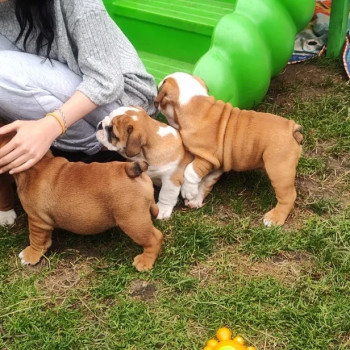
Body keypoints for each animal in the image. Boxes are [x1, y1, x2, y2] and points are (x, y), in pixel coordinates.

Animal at [0, 131, 164, 270]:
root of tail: (130, 169)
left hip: (132, 221)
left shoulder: (37, 221)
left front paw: (30, 255)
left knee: (154, 238)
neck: (38, 164)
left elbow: (36, 239)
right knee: (153, 211)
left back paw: (145, 261)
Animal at [154, 73, 302, 227]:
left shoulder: (205, 157)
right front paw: (195, 199)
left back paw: (274, 218)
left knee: (288, 196)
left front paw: (188, 192)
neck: (194, 102)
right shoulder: (217, 165)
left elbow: (190, 171)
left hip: (278, 169)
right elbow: (206, 182)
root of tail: (291, 127)